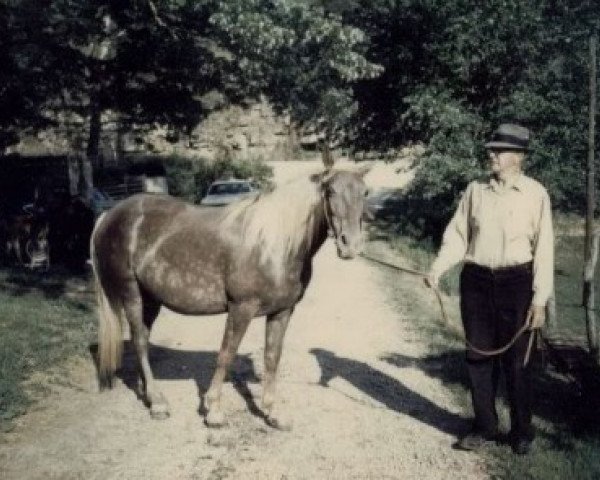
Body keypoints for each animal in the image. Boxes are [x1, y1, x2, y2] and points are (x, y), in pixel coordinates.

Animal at [90, 162, 370, 432]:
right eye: (330, 191)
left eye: (365, 193)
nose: (350, 245)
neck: (274, 245)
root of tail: (109, 215)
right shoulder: (241, 308)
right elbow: (226, 354)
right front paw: (213, 411)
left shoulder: (282, 311)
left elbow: (272, 358)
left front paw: (273, 414)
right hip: (132, 295)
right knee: (138, 341)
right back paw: (158, 403)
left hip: (151, 299)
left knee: (144, 342)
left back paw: (149, 392)